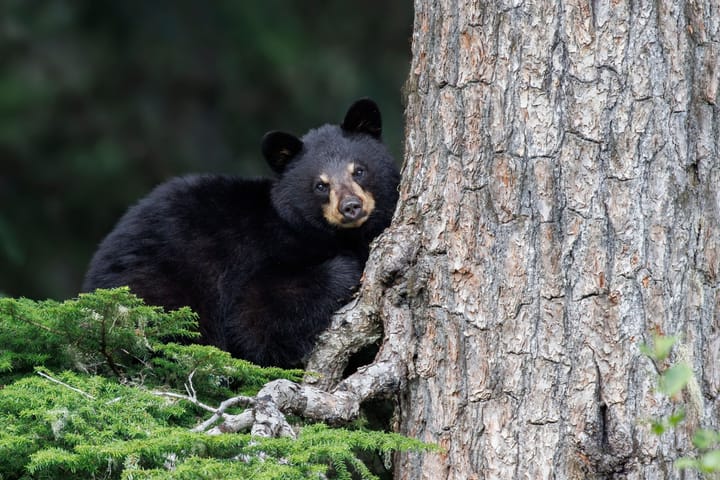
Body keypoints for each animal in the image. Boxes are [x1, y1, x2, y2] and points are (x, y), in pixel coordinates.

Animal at [82, 98, 400, 368]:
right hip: (158, 285)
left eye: (358, 170)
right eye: (320, 185)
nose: (351, 207)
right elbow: (256, 320)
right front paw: (349, 268)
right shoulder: (266, 251)